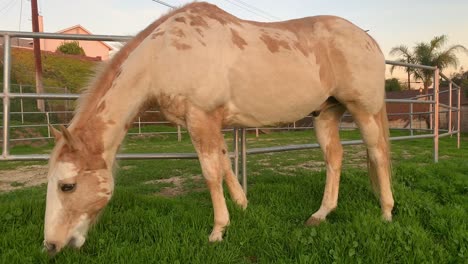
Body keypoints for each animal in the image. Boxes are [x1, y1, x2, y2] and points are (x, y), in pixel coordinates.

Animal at [44, 1, 394, 254]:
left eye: (67, 186)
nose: (51, 246)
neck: (164, 55)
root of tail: (370, 40)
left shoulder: (201, 119)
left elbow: (211, 173)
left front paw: (218, 230)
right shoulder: (212, 123)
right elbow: (225, 164)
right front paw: (243, 206)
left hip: (364, 111)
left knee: (377, 154)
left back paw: (386, 212)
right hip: (326, 115)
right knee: (335, 158)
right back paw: (320, 215)